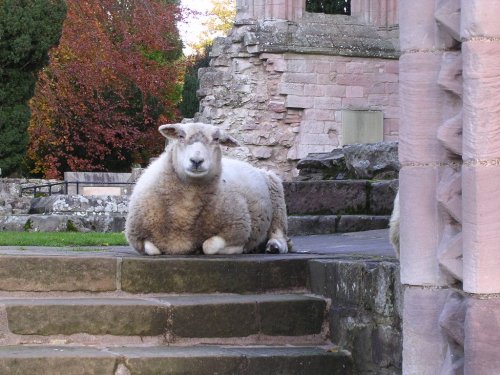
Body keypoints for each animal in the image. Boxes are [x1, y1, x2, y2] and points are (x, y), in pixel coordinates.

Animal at [125, 122, 290, 256]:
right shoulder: (138, 239)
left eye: (216, 139)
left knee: (279, 233)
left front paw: (238, 249)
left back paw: (274, 246)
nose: (196, 161)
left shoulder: (238, 230)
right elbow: (152, 249)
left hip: (277, 199)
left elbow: (209, 246)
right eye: (180, 136)